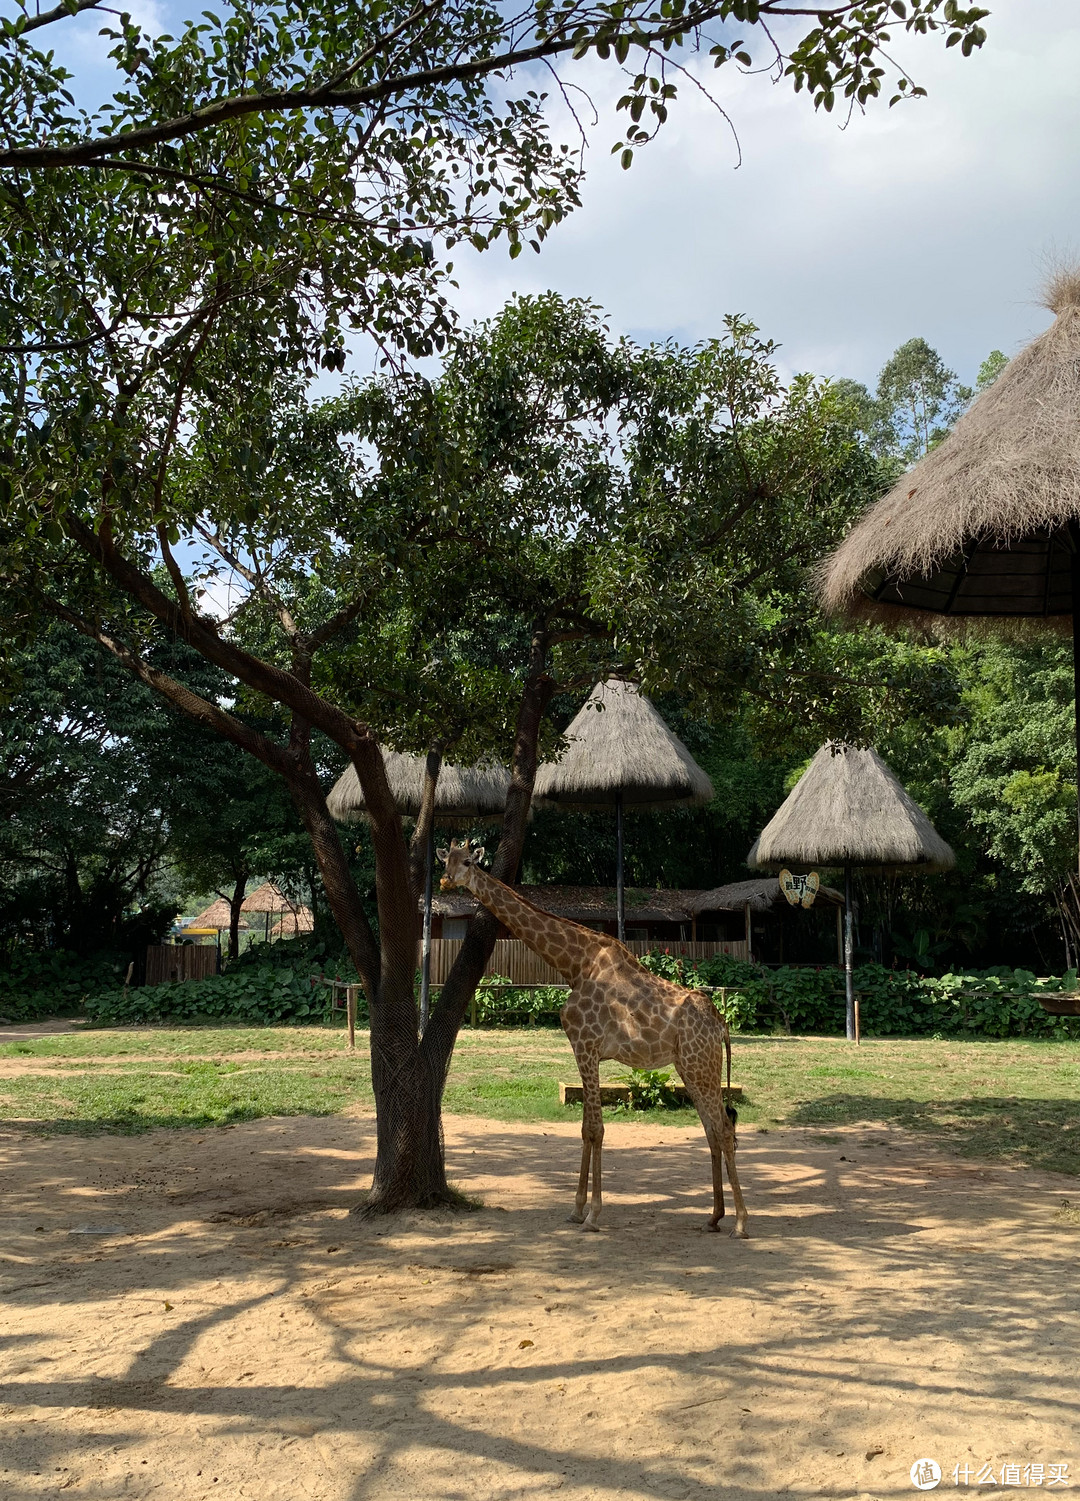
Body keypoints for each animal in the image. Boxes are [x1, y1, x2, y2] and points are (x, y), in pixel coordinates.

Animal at [435, 840, 747, 1236]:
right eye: (445, 860)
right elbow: (585, 1128)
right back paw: (714, 1216)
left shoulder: (586, 1046)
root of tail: (721, 1024)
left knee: (723, 1129)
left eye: (468, 861)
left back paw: (740, 1223)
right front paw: (576, 1209)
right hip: (691, 1067)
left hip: (700, 1065)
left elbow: (596, 1129)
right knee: (711, 1129)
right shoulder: (585, 1050)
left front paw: (593, 1215)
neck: (574, 964)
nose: (445, 881)